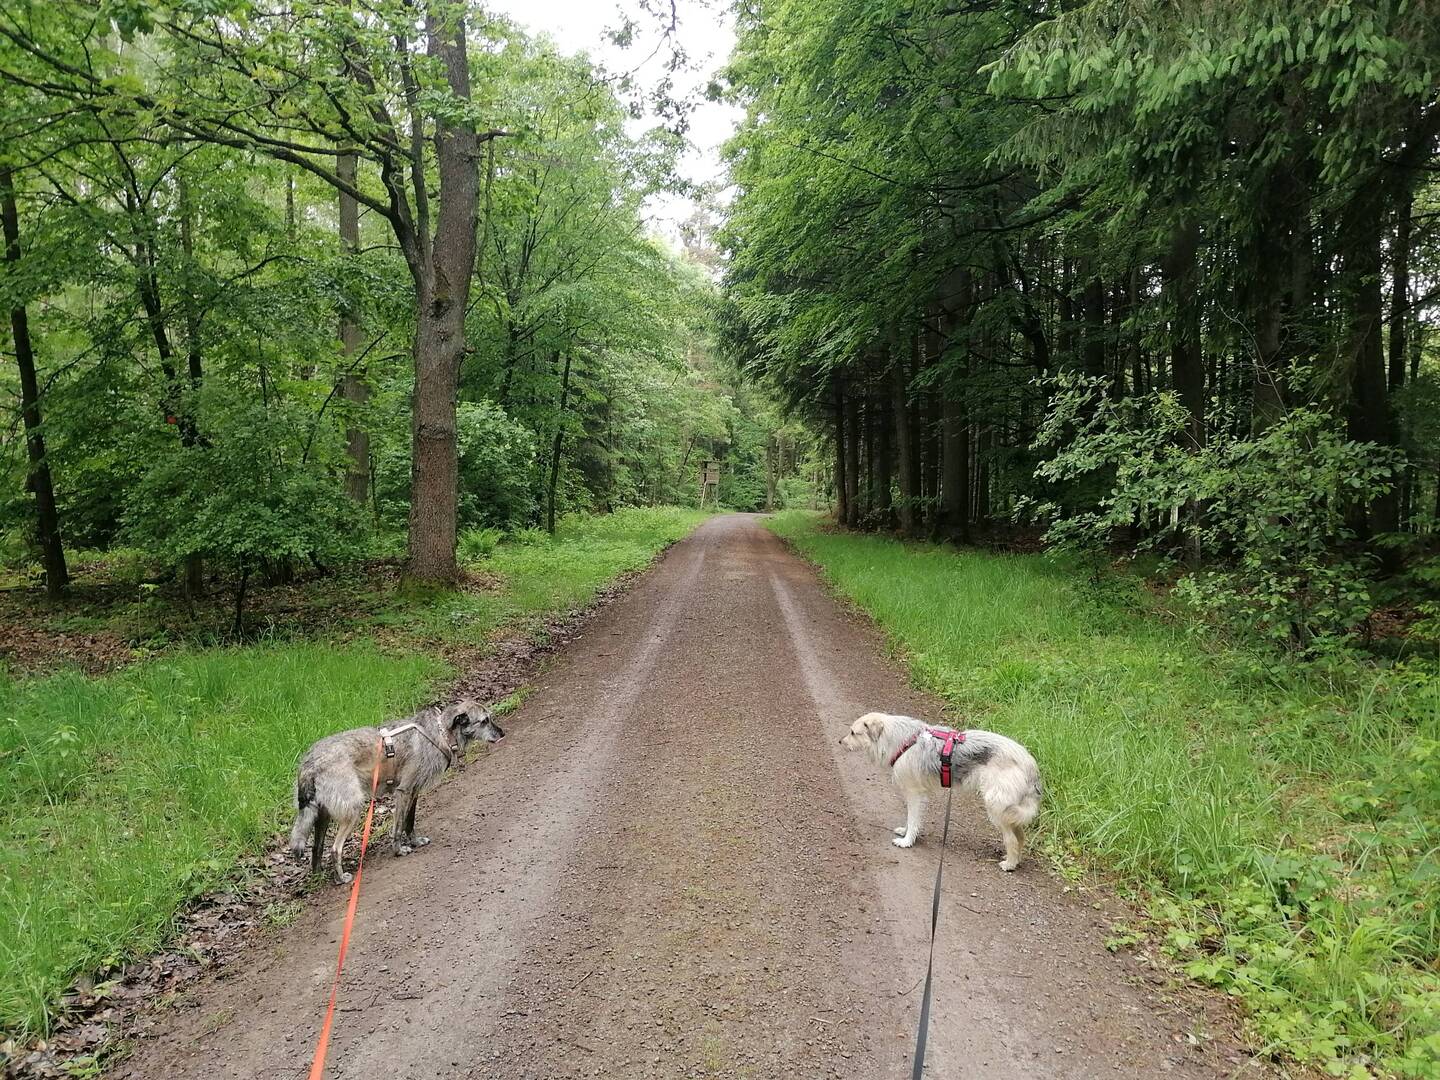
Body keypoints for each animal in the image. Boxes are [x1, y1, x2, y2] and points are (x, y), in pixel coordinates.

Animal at [288, 699, 504, 883]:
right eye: (485, 721)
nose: (502, 734)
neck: (441, 732)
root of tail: (310, 761)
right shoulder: (404, 792)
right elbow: (399, 827)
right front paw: (399, 850)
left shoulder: (413, 792)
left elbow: (409, 822)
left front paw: (415, 841)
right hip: (352, 810)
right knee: (335, 849)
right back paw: (340, 878)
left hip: (322, 815)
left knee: (317, 848)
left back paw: (318, 875)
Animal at [840, 712, 1041, 871]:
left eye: (853, 732)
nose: (840, 741)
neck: (899, 739)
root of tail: (1030, 764)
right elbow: (911, 819)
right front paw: (905, 832)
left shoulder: (914, 793)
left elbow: (913, 818)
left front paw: (906, 841)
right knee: (1020, 835)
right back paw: (1015, 860)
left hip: (996, 805)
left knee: (1012, 839)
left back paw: (1009, 864)